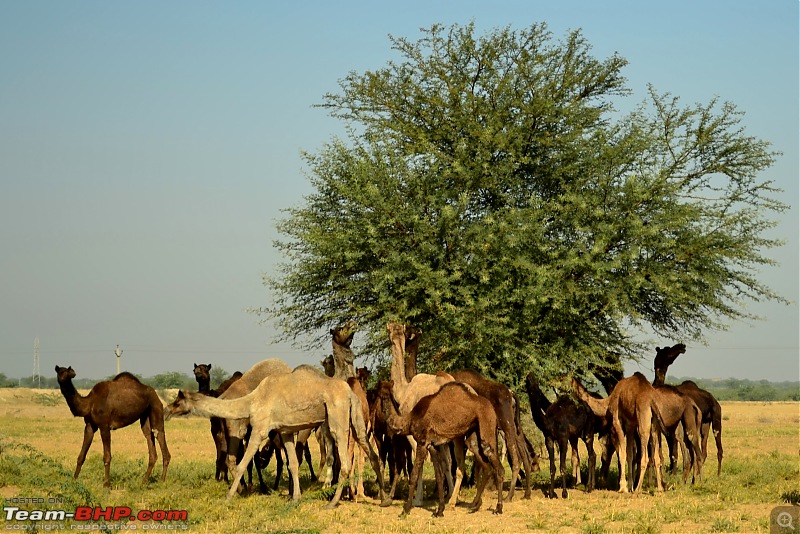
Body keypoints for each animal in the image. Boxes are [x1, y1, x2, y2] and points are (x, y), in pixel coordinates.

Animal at [165, 368, 384, 510]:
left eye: (178, 401)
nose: (167, 410)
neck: (251, 401)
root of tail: (350, 393)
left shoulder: (260, 429)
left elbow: (242, 464)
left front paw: (228, 498)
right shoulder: (285, 431)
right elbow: (292, 464)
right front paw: (295, 498)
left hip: (337, 415)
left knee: (345, 461)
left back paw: (332, 503)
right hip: (356, 416)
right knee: (371, 452)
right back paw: (384, 499)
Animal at [378, 382, 504, 520]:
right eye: (380, 393)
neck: (410, 419)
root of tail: (491, 408)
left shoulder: (422, 442)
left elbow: (414, 475)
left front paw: (405, 510)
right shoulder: (433, 446)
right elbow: (439, 476)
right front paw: (439, 511)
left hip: (487, 426)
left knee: (498, 467)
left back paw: (498, 508)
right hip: (474, 433)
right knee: (485, 464)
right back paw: (475, 505)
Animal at [450, 372, 532, 502]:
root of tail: (511, 394)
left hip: (506, 425)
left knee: (516, 459)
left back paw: (508, 496)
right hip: (513, 426)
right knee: (525, 455)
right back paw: (526, 493)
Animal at [652, 346, 720, 480]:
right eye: (667, 350)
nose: (681, 346)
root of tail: (713, 399)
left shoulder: (670, 429)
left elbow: (674, 453)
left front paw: (673, 475)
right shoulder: (667, 430)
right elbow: (671, 453)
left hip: (716, 417)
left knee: (716, 448)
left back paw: (715, 476)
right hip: (704, 424)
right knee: (702, 450)